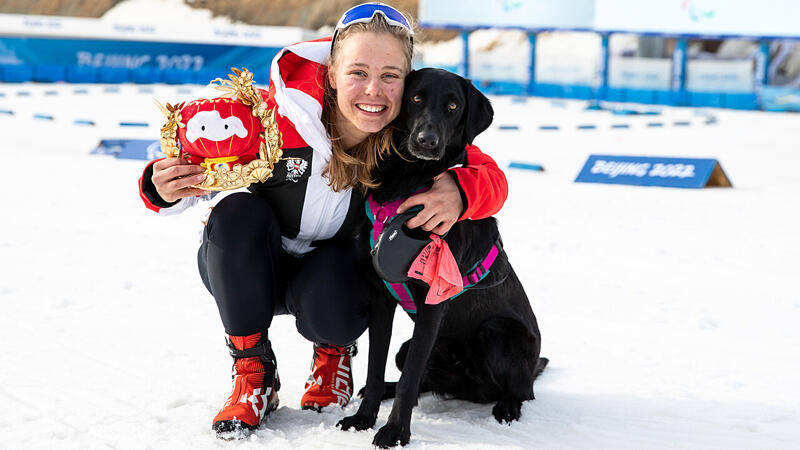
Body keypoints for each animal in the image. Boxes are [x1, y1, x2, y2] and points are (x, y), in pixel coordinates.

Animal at [334, 68, 548, 448]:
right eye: (415, 98)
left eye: (453, 106)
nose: (427, 141)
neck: (409, 181)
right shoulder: (381, 295)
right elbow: (376, 367)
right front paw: (363, 418)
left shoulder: (433, 302)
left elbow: (410, 380)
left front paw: (394, 432)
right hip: (411, 347)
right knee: (420, 377)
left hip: (498, 333)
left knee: (523, 391)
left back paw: (508, 407)